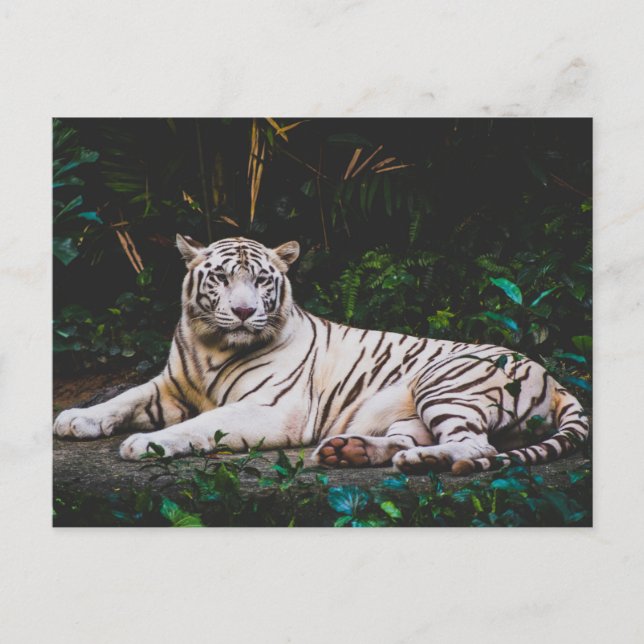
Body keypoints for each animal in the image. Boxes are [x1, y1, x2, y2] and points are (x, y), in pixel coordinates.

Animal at [53, 235, 590, 475]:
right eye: (221, 278)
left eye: (261, 280)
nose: (244, 311)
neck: (212, 345)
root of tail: (554, 378)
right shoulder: (169, 385)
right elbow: (123, 397)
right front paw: (75, 419)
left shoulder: (272, 409)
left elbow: (201, 424)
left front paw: (146, 444)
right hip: (413, 411)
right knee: (414, 438)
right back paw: (348, 450)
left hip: (444, 383)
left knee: (478, 446)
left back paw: (421, 461)